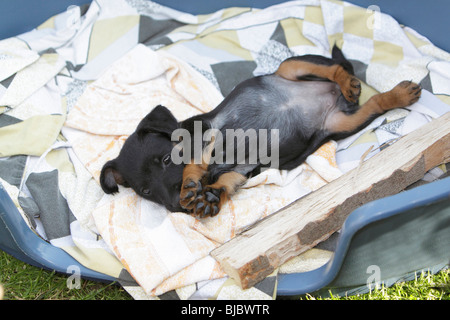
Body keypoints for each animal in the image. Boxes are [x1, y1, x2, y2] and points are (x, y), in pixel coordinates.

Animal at [100, 45, 420, 218]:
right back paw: (395, 96)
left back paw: (354, 84)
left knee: (334, 69)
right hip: (342, 123)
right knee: (375, 102)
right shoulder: (244, 168)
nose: (176, 206)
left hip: (290, 67)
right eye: (145, 191)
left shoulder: (209, 130)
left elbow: (195, 159)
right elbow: (227, 181)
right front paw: (211, 196)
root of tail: (334, 97)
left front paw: (191, 183)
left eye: (167, 160)